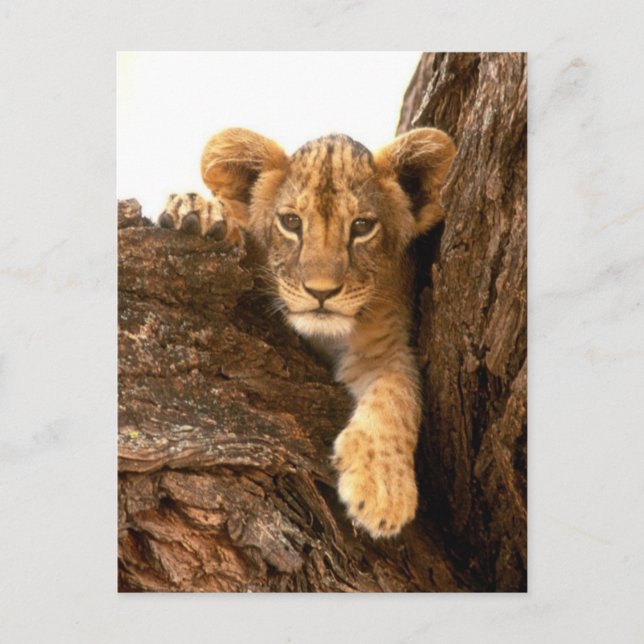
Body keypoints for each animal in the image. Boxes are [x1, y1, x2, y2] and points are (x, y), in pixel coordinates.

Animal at [159, 127, 455, 537]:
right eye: (291, 222)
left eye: (362, 226)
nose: (321, 291)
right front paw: (200, 213)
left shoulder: (386, 346)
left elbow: (398, 396)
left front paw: (382, 490)